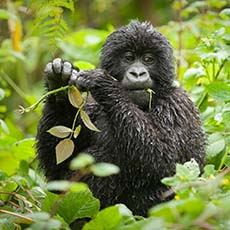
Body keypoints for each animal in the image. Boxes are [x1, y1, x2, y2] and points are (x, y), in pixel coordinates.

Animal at [36, 20, 206, 217]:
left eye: (148, 59)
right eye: (129, 58)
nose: (138, 73)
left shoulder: (178, 106)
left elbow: (166, 160)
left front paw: (103, 83)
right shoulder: (92, 109)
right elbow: (57, 169)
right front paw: (60, 82)